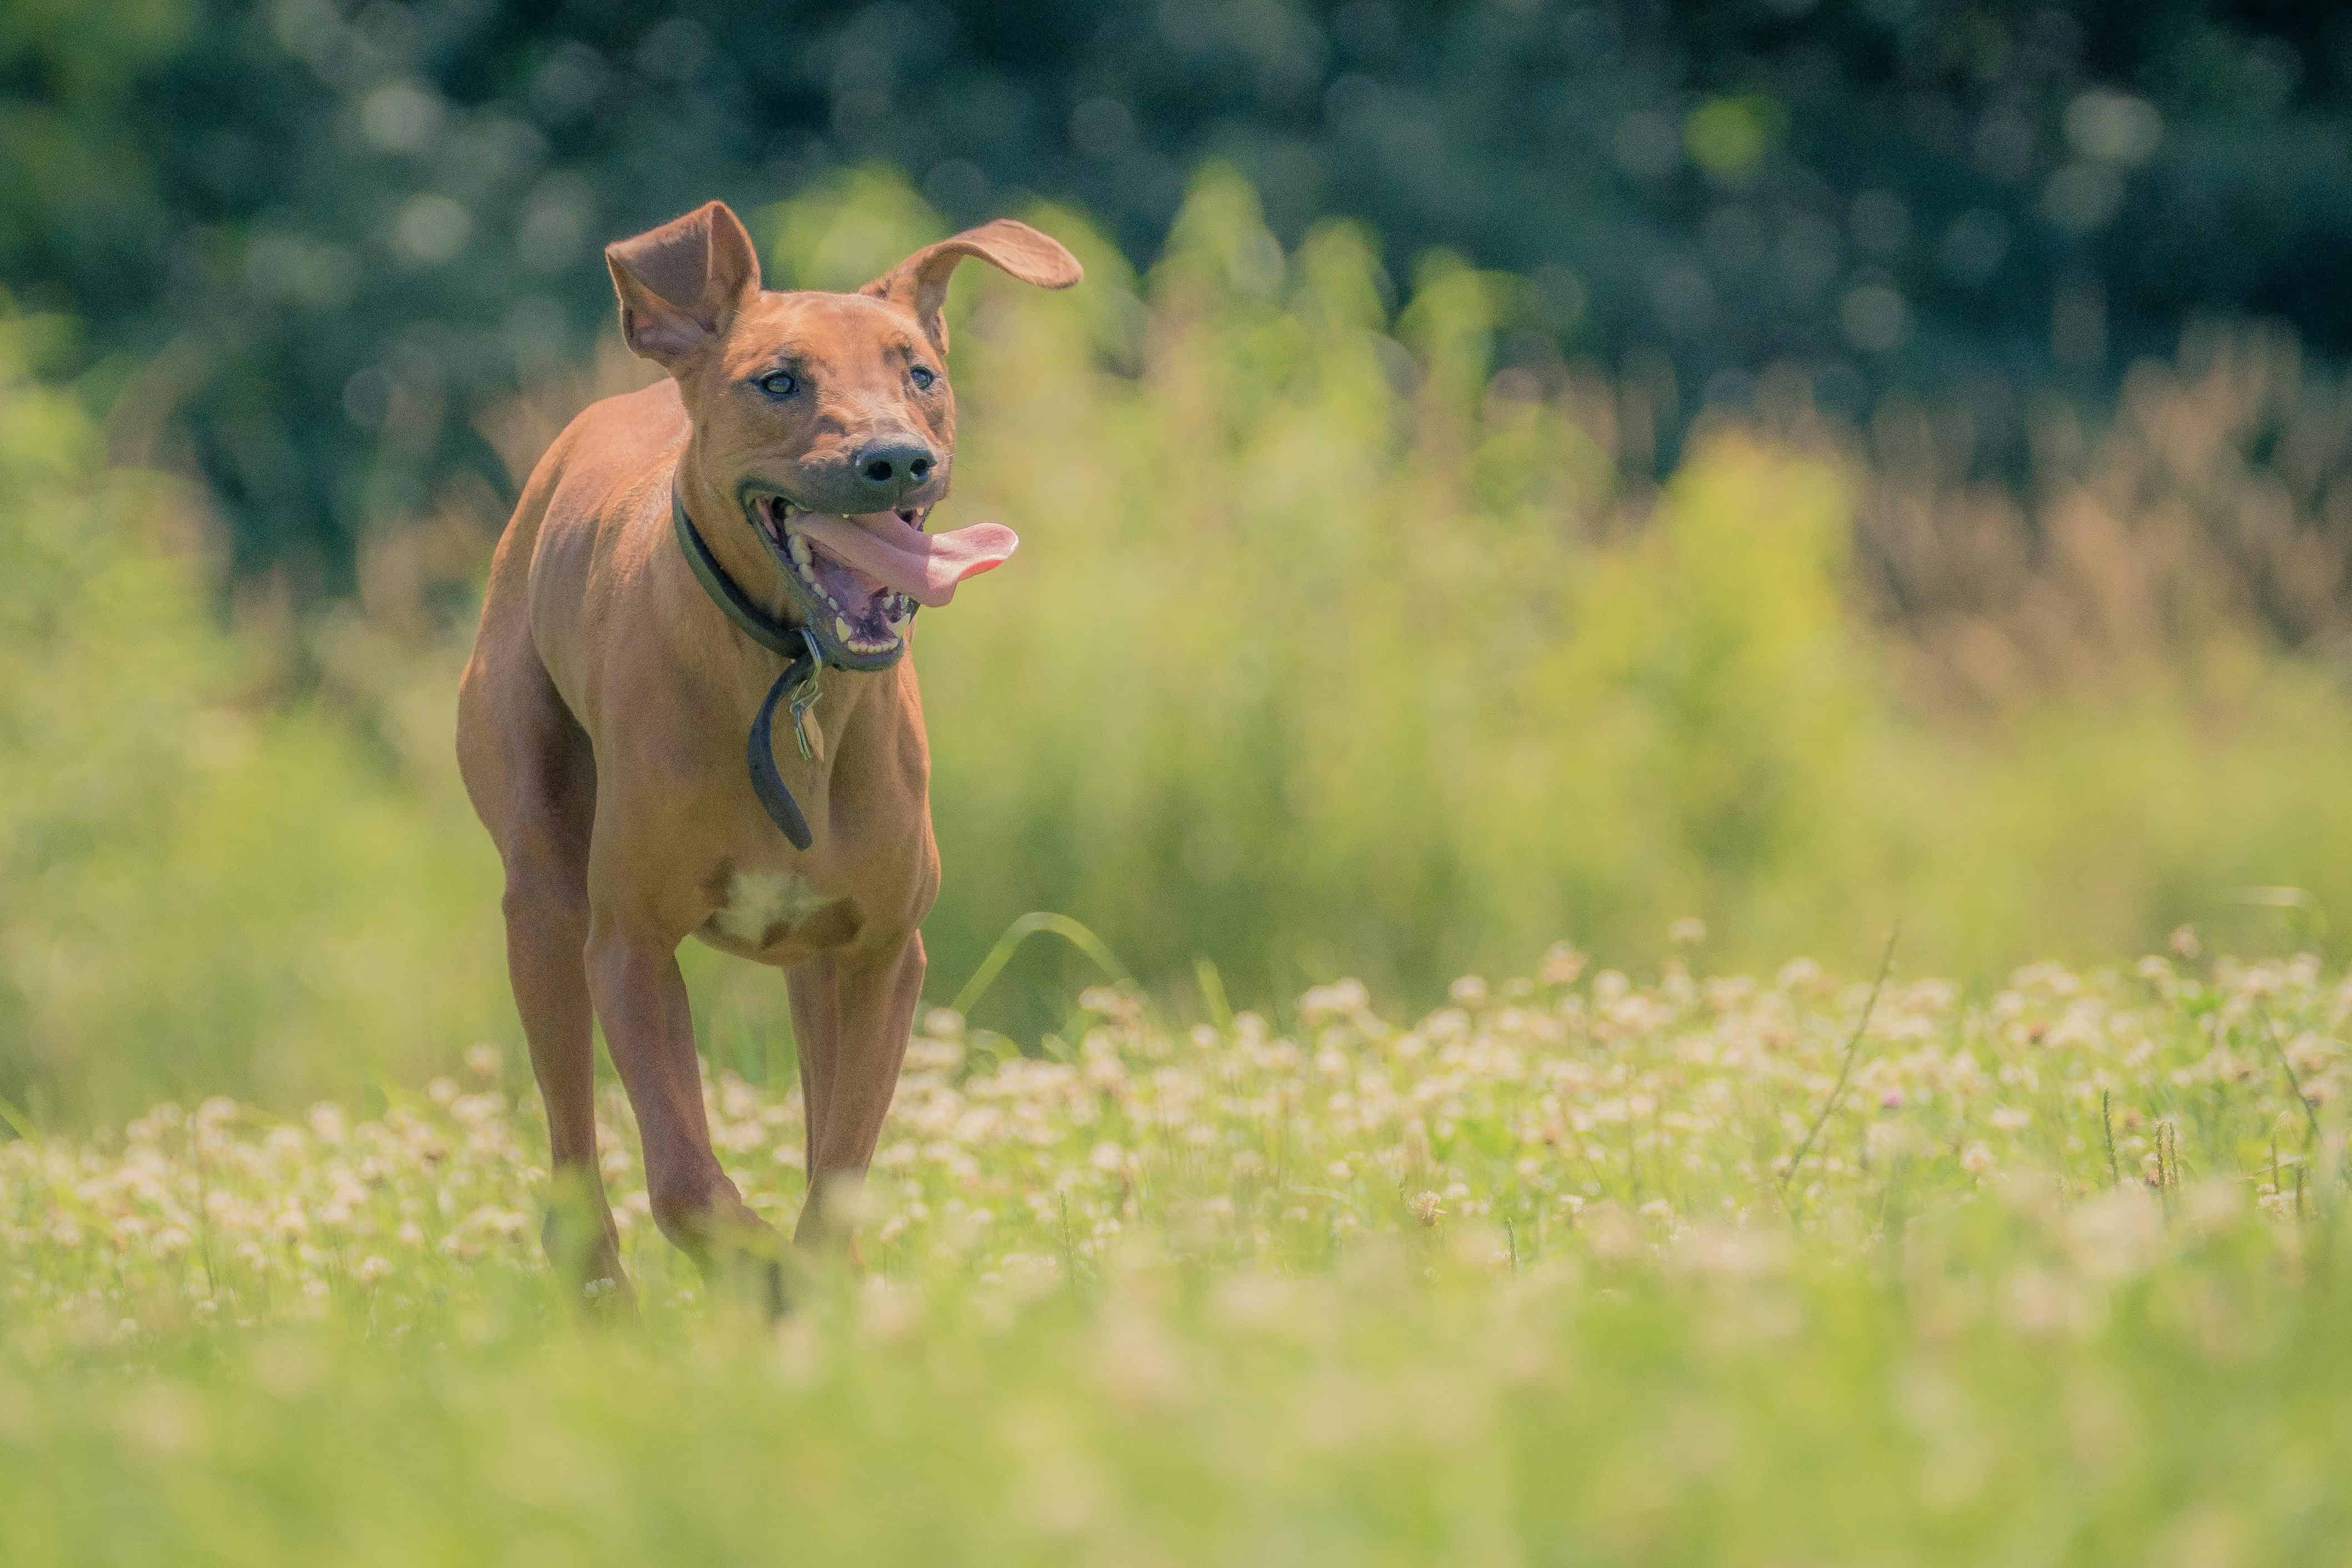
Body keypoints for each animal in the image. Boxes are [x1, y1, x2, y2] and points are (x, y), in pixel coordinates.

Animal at [454, 199, 1077, 1298]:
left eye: (920, 373)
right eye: (778, 380)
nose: (894, 459)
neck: (793, 672)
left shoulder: (882, 953)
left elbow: (837, 1176)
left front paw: (816, 1287)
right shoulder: (629, 946)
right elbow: (684, 1184)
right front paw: (768, 1279)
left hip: (814, 965)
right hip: (541, 899)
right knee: (576, 1160)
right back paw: (603, 1295)